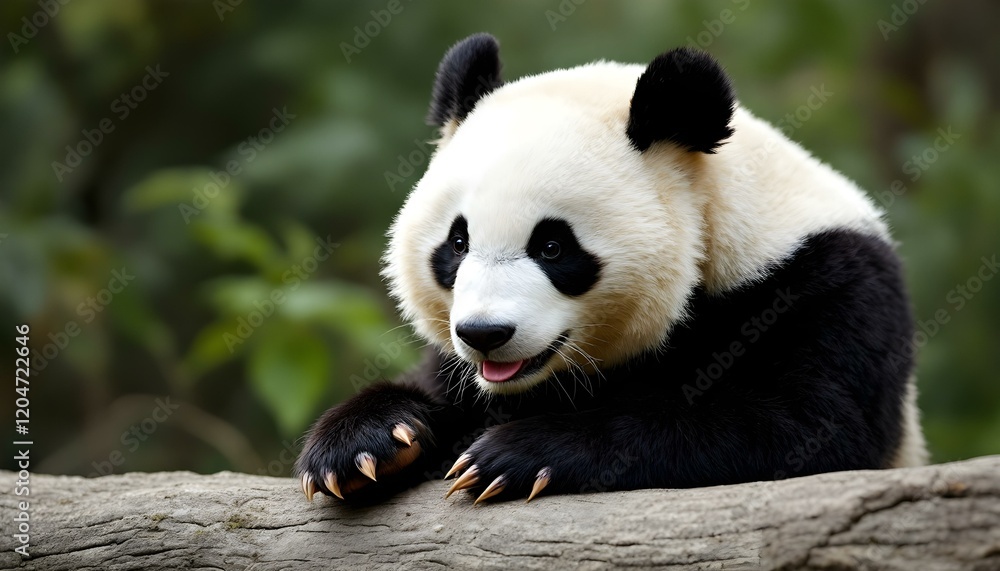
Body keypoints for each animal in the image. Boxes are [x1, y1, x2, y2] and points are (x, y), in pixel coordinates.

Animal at [295, 33, 928, 504]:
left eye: (553, 247)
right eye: (457, 242)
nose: (485, 334)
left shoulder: (823, 284)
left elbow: (804, 427)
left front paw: (515, 455)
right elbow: (436, 388)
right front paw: (366, 444)